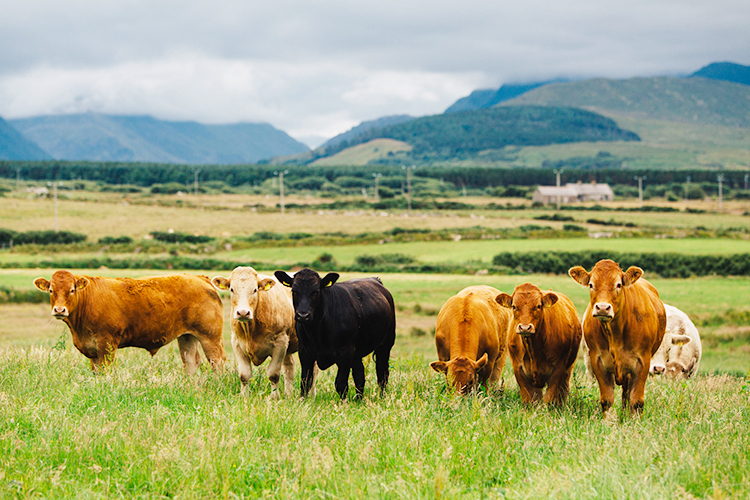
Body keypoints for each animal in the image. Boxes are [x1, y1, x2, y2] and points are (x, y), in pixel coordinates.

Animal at [33, 270, 226, 372]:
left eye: (72, 290)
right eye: (51, 290)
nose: (59, 310)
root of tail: (199, 277)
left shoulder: (107, 343)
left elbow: (105, 370)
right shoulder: (92, 350)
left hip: (210, 336)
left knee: (217, 361)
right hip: (187, 336)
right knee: (191, 362)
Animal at [212, 266, 300, 398]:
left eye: (255, 290)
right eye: (232, 289)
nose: (243, 312)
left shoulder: (280, 342)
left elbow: (273, 374)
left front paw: (274, 397)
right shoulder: (236, 343)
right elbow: (244, 375)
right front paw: (244, 396)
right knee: (289, 368)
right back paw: (288, 395)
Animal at [274, 268, 396, 400]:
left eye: (316, 291)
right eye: (294, 291)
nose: (303, 315)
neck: (317, 331)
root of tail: (375, 280)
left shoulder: (345, 353)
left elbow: (341, 384)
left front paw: (343, 403)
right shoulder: (305, 352)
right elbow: (305, 381)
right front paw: (303, 400)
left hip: (385, 344)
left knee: (382, 373)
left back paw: (382, 397)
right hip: (356, 353)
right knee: (360, 374)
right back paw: (359, 399)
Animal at [572, 258, 668, 414]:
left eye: (618, 284)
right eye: (591, 284)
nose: (602, 308)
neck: (615, 334)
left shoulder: (642, 361)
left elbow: (637, 401)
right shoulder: (597, 360)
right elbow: (606, 400)